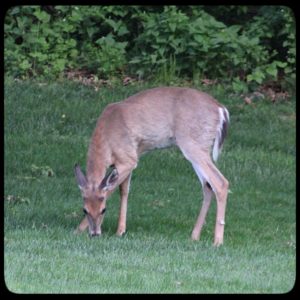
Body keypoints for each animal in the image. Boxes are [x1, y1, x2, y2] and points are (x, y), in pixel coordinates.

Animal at [74, 86, 230, 246]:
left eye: (103, 210)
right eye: (84, 210)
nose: (95, 233)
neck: (107, 140)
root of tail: (220, 109)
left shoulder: (128, 159)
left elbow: (111, 190)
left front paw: (79, 230)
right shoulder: (128, 158)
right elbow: (124, 191)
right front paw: (120, 230)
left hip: (193, 143)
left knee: (220, 182)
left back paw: (218, 241)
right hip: (198, 147)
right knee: (207, 186)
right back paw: (194, 236)